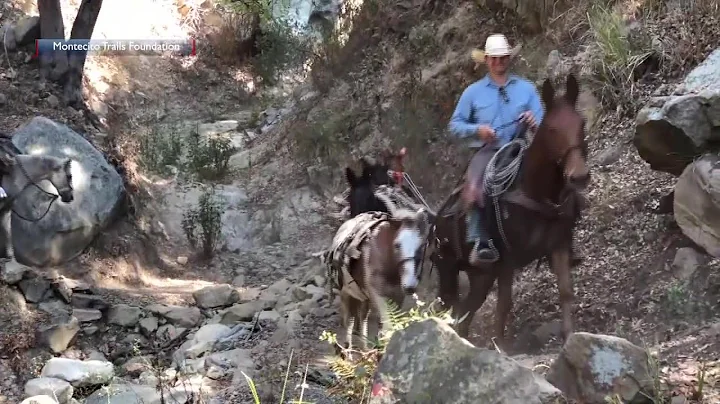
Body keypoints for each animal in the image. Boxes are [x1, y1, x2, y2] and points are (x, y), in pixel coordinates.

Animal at [434, 74, 592, 348]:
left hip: (480, 276)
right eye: (552, 129)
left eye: (581, 123)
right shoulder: (506, 261)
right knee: (456, 310)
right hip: (451, 270)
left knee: (465, 312)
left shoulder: (559, 245)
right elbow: (504, 305)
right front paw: (500, 347)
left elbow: (565, 291)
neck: (535, 192)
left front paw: (570, 337)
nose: (579, 176)